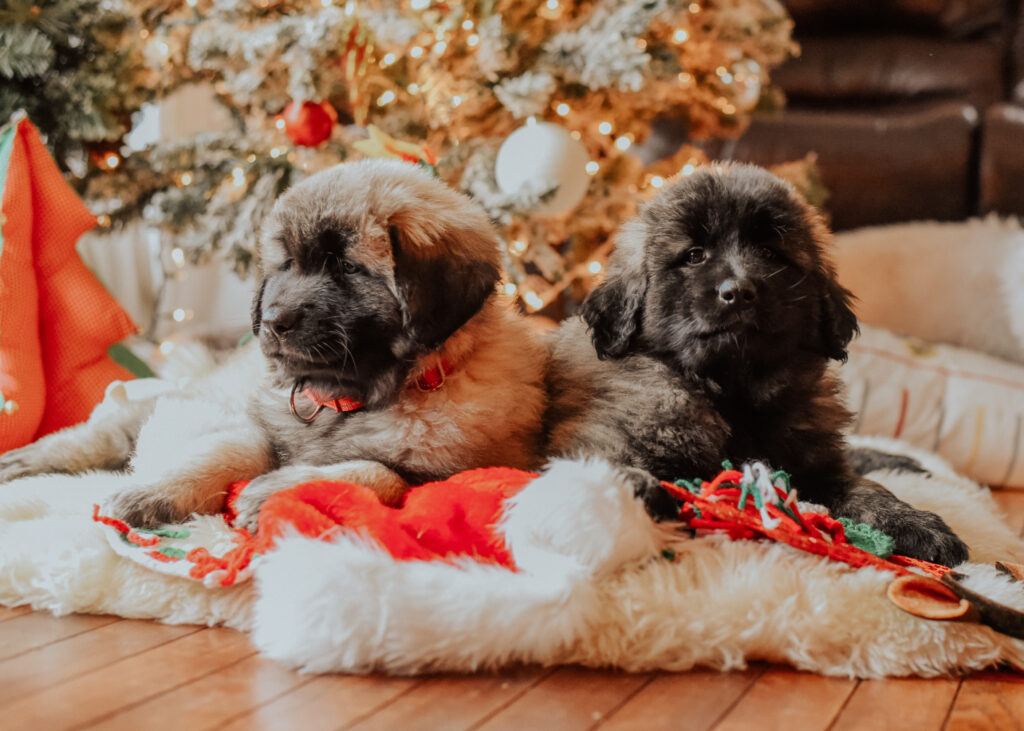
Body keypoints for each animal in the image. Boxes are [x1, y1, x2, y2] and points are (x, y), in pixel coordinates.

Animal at [544, 163, 966, 565]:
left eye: (768, 253)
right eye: (694, 255)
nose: (738, 292)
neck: (733, 392)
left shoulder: (819, 467)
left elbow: (867, 489)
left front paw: (915, 523)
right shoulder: (604, 443)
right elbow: (611, 470)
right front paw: (642, 497)